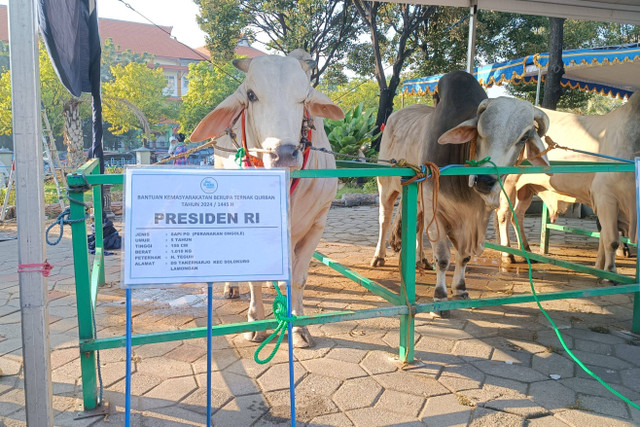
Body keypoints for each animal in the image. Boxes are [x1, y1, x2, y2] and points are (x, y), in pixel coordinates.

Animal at [189, 52, 344, 348]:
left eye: (304, 97)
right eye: (251, 95)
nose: (283, 153)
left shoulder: (317, 224)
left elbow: (297, 279)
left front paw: (299, 327)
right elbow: (255, 278)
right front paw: (255, 324)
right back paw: (231, 287)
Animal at [370, 71, 552, 314]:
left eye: (523, 138)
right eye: (480, 132)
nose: (484, 180)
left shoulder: (476, 217)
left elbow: (464, 256)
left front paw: (460, 289)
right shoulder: (436, 210)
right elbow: (443, 257)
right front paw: (440, 296)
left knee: (417, 227)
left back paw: (420, 260)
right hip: (386, 186)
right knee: (384, 219)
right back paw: (379, 256)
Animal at [496, 93, 640, 274]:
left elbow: (604, 235)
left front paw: (599, 267)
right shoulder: (605, 197)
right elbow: (611, 239)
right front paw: (610, 271)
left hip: (526, 188)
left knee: (518, 215)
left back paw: (526, 250)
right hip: (508, 183)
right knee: (504, 214)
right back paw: (507, 254)